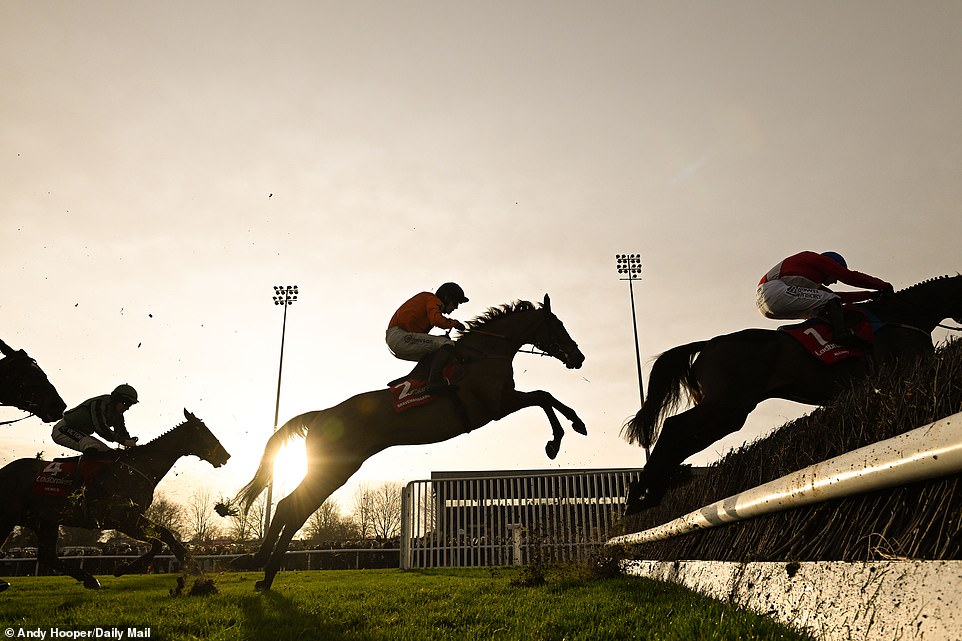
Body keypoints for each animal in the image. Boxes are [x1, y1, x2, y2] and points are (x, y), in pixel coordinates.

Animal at [0, 412, 231, 588]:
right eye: (202, 431)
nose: (225, 456)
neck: (137, 467)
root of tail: (4, 470)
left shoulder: (131, 517)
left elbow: (164, 537)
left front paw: (192, 567)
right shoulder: (123, 518)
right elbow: (160, 539)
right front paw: (125, 568)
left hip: (45, 520)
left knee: (47, 555)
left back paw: (89, 579)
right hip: (10, 517)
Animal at [231, 292, 584, 588]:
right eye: (558, 325)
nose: (578, 357)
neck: (483, 354)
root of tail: (321, 414)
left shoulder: (503, 400)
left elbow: (544, 396)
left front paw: (570, 429)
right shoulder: (496, 405)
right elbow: (543, 396)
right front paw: (562, 437)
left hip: (337, 468)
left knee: (290, 507)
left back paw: (261, 568)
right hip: (334, 468)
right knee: (293, 507)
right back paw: (265, 571)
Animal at [620, 272, 956, 512]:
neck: (904, 314)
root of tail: (708, 344)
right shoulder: (905, 365)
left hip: (724, 410)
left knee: (681, 437)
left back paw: (646, 497)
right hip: (727, 407)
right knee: (674, 429)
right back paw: (640, 497)